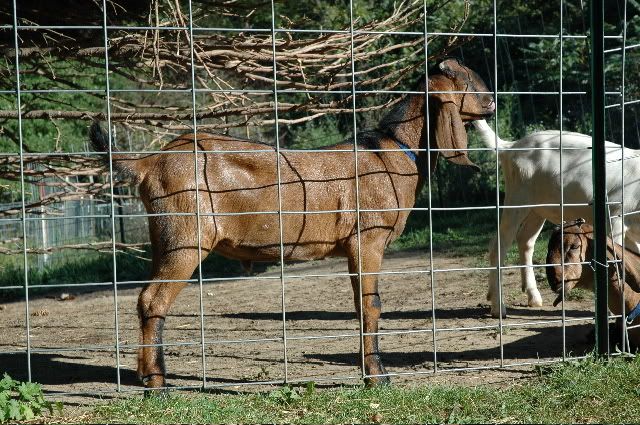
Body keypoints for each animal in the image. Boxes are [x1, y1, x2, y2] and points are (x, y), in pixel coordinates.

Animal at [90, 58, 495, 390]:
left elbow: (358, 303)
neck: (391, 151)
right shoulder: (368, 239)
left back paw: (143, 374)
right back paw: (158, 384)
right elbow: (372, 304)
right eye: (467, 80)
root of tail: (149, 162)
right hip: (186, 239)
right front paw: (377, 377)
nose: (492, 101)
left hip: (164, 237)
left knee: (145, 297)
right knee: (152, 299)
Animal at [472, 119, 640, 318]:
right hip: (517, 198)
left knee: (525, 240)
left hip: (537, 209)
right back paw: (498, 307)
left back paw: (531, 296)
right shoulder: (614, 216)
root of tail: (510, 147)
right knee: (499, 244)